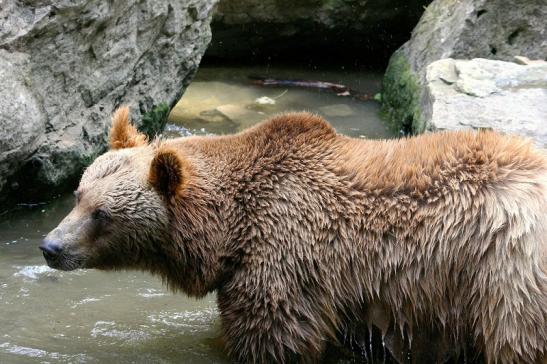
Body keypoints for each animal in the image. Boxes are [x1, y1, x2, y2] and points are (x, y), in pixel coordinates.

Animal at [41, 107, 547, 364]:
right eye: (78, 195)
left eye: (101, 214)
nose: (51, 247)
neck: (229, 231)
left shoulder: (284, 254)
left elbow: (274, 338)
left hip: (507, 271)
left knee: (516, 340)